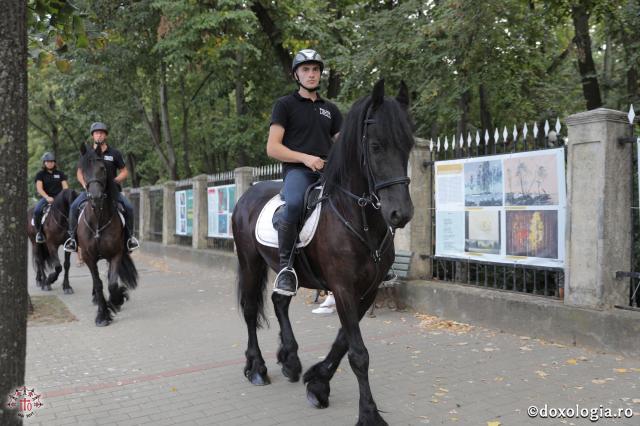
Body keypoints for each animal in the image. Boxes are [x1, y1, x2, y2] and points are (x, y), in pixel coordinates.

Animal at [77, 143, 138, 326]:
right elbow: (98, 284)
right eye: (83, 170)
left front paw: (116, 301)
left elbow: (112, 283)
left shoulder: (115, 254)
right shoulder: (88, 257)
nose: (96, 197)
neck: (98, 220)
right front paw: (102, 315)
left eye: (102, 168)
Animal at [235, 79, 416, 422]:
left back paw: (290, 360)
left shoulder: (367, 290)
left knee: (280, 301)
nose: (401, 214)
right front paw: (369, 413)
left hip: (283, 269)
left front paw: (318, 382)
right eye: (376, 146)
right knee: (251, 310)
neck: (356, 216)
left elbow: (345, 341)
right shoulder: (342, 287)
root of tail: (247, 196)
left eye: (409, 145)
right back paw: (257, 368)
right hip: (250, 262)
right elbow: (358, 353)